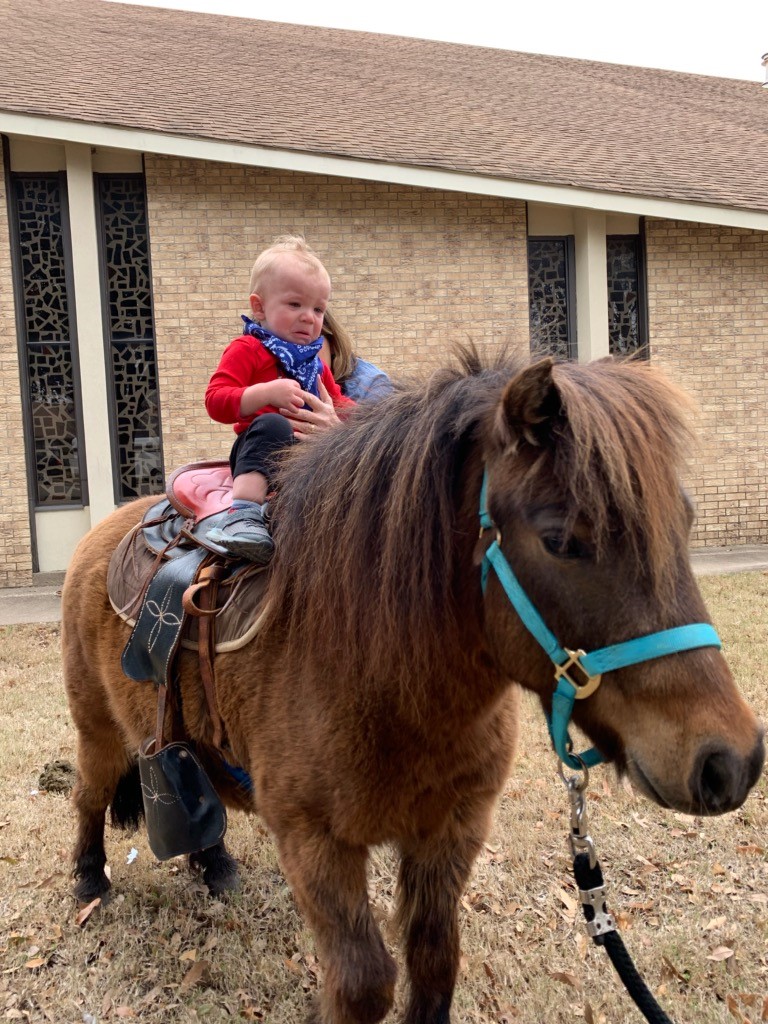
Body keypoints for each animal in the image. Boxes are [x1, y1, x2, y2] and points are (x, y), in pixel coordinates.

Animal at [62, 347, 764, 1024]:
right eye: (561, 539)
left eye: (685, 523)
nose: (730, 761)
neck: (386, 683)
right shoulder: (314, 843)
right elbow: (364, 983)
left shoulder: (450, 832)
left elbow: (433, 960)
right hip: (98, 731)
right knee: (88, 797)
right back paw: (90, 884)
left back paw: (216, 868)